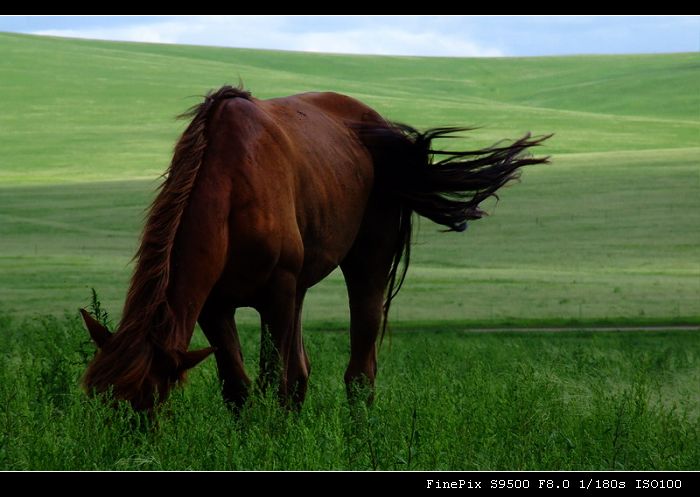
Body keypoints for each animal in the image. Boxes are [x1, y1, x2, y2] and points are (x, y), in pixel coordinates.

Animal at [80, 85, 548, 410]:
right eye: (96, 399)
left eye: (148, 403)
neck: (233, 190)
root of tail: (380, 127)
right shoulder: (214, 306)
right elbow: (239, 388)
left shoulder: (276, 295)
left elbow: (275, 383)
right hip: (301, 287)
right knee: (302, 374)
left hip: (365, 265)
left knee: (359, 375)